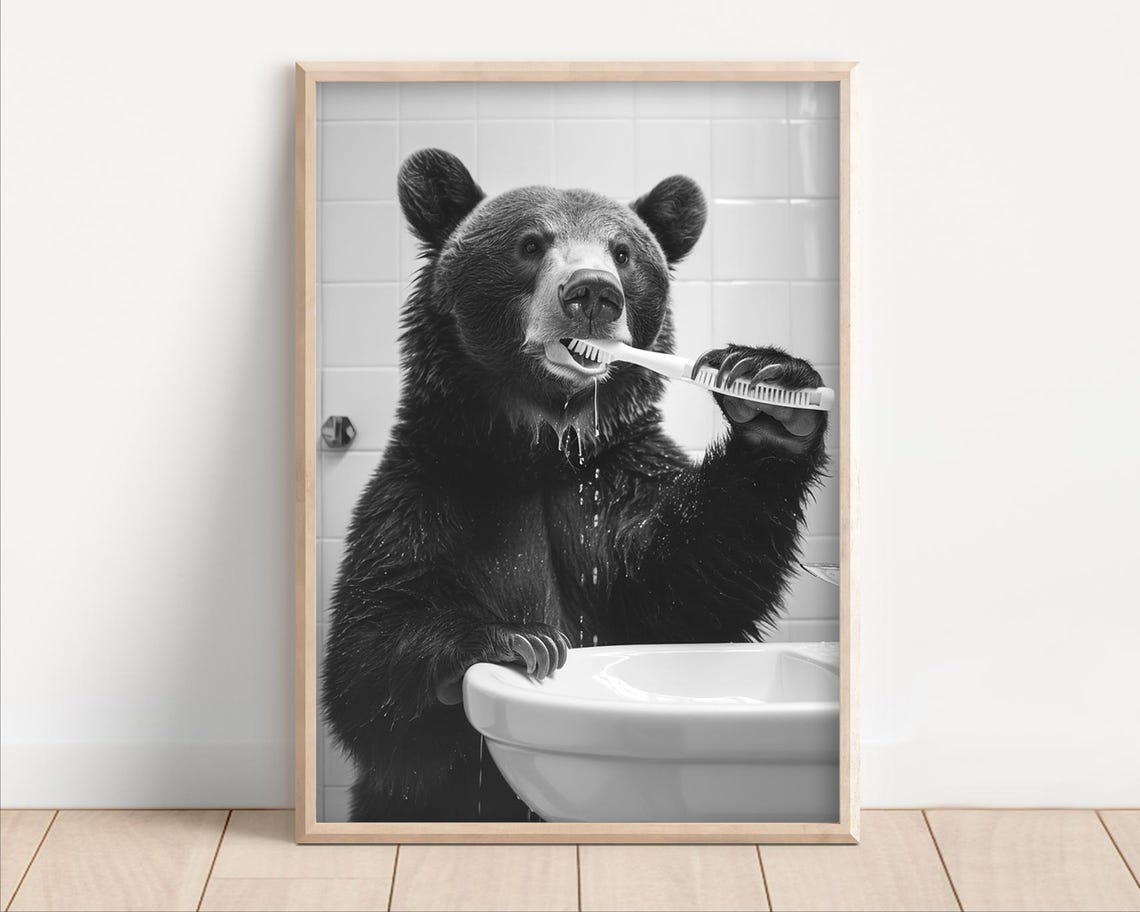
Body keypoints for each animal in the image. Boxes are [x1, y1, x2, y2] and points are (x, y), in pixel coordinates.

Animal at [322, 148, 829, 823]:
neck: (543, 447)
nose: (592, 293)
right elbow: (368, 658)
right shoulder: (432, 492)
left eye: (623, 251)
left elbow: (689, 586)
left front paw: (771, 390)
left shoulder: (616, 488)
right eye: (531, 243)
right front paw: (519, 640)